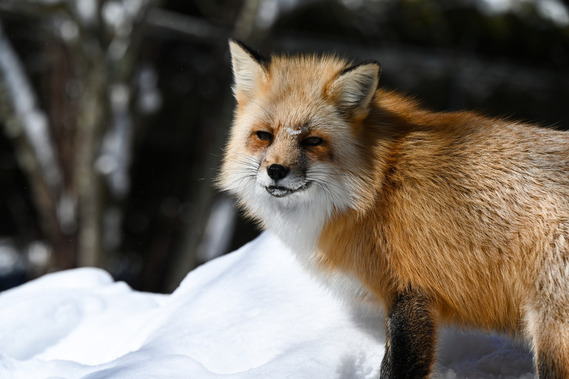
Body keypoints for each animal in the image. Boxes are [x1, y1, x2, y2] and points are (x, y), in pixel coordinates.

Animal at [217, 40, 568, 378]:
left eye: (312, 141)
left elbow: (396, 367)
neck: (377, 186)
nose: (276, 171)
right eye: (264, 136)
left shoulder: (411, 291)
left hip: (551, 332)